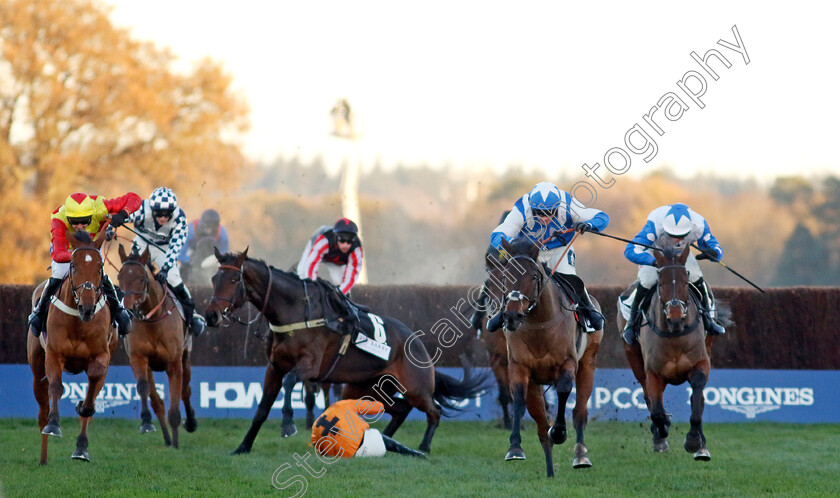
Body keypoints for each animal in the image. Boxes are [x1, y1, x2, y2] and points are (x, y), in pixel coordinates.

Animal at [27, 230, 118, 462]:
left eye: (100, 266)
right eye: (73, 265)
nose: (87, 307)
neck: (79, 320)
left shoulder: (102, 355)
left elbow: (92, 386)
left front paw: (82, 408)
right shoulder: (54, 353)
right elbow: (56, 387)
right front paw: (54, 425)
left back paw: (81, 449)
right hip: (36, 367)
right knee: (42, 408)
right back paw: (43, 456)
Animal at [117, 245, 198, 448]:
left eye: (142, 278)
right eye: (120, 278)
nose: (128, 308)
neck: (153, 319)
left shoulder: (174, 363)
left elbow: (177, 401)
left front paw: (177, 443)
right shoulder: (138, 358)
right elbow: (144, 388)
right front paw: (146, 422)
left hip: (185, 357)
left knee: (186, 390)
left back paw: (189, 424)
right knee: (157, 401)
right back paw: (167, 439)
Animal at [203, 249, 486, 456]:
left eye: (233, 280)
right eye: (214, 279)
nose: (211, 315)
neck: (296, 311)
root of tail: (417, 343)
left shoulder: (310, 364)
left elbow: (290, 381)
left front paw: (288, 423)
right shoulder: (274, 366)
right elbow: (261, 410)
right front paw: (243, 447)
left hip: (414, 387)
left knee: (433, 411)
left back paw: (423, 446)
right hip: (363, 389)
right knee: (400, 409)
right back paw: (387, 439)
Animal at [496, 238, 600, 478]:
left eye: (534, 277)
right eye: (505, 276)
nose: (511, 316)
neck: (540, 323)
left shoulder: (568, 363)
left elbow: (563, 392)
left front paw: (559, 431)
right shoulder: (519, 366)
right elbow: (518, 399)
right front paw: (515, 447)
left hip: (588, 365)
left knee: (580, 412)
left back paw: (581, 456)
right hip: (536, 385)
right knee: (542, 426)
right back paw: (551, 471)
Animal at [616, 244, 716, 460]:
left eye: (685, 281)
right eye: (660, 284)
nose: (675, 318)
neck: (675, 334)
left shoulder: (701, 363)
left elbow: (697, 396)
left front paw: (694, 441)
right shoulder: (652, 373)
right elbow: (656, 410)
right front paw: (662, 433)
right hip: (632, 356)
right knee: (649, 398)